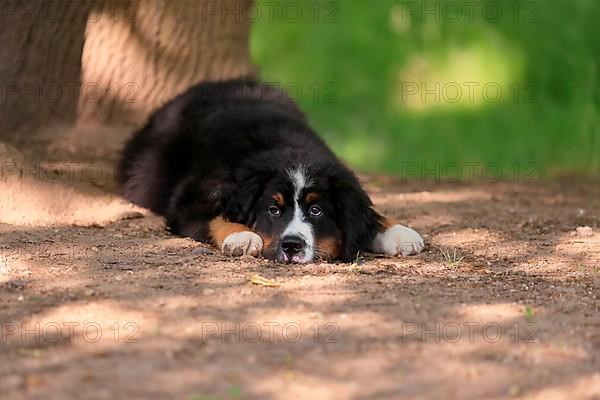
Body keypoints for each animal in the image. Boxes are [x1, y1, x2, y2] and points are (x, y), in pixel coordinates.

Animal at [119, 79, 424, 264]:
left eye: (316, 211)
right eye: (273, 210)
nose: (291, 246)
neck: (287, 147)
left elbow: (372, 214)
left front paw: (398, 232)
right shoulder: (191, 197)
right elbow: (213, 216)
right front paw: (241, 236)